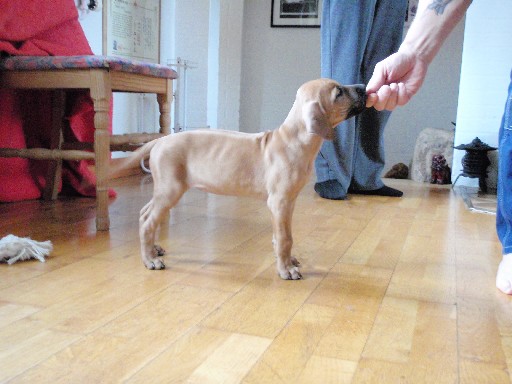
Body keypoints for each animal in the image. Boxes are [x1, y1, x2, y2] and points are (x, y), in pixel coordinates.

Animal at [113, 79, 366, 280]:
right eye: (339, 92)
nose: (364, 86)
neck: (293, 140)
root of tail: (161, 140)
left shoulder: (288, 202)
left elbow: (282, 235)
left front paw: (286, 259)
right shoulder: (280, 201)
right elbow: (285, 238)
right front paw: (285, 269)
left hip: (165, 189)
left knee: (145, 214)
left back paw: (153, 249)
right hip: (171, 189)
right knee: (148, 220)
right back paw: (149, 260)